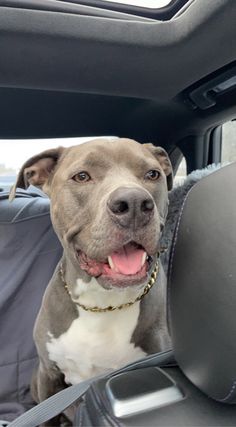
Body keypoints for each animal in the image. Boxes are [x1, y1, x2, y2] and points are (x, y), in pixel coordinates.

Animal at [10, 139, 172, 426]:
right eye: (82, 176)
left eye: (152, 174)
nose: (134, 203)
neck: (102, 303)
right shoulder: (49, 375)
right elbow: (47, 417)